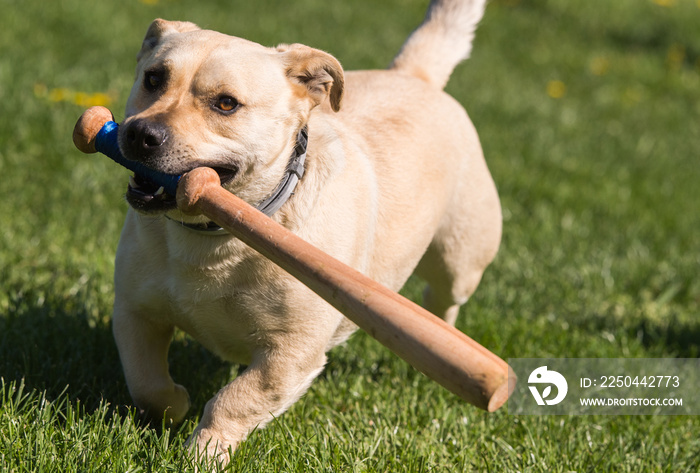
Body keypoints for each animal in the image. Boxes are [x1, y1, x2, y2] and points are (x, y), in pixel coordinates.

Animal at [113, 0, 498, 460]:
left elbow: (234, 400)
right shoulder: (135, 310)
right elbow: (145, 382)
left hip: (459, 261)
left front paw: (202, 454)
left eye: (226, 104)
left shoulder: (290, 353)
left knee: (444, 301)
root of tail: (414, 75)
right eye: (153, 79)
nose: (140, 133)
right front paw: (175, 405)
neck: (218, 235)